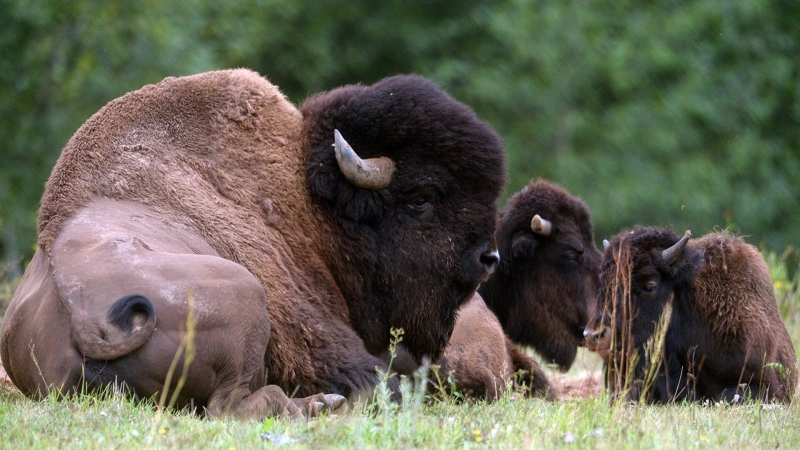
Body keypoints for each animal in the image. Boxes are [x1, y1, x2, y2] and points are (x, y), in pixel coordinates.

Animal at [0, 67, 504, 418]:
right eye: (421, 198)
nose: (488, 257)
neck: (307, 199)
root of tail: (87, 320)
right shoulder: (314, 331)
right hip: (246, 294)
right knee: (232, 407)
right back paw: (321, 405)